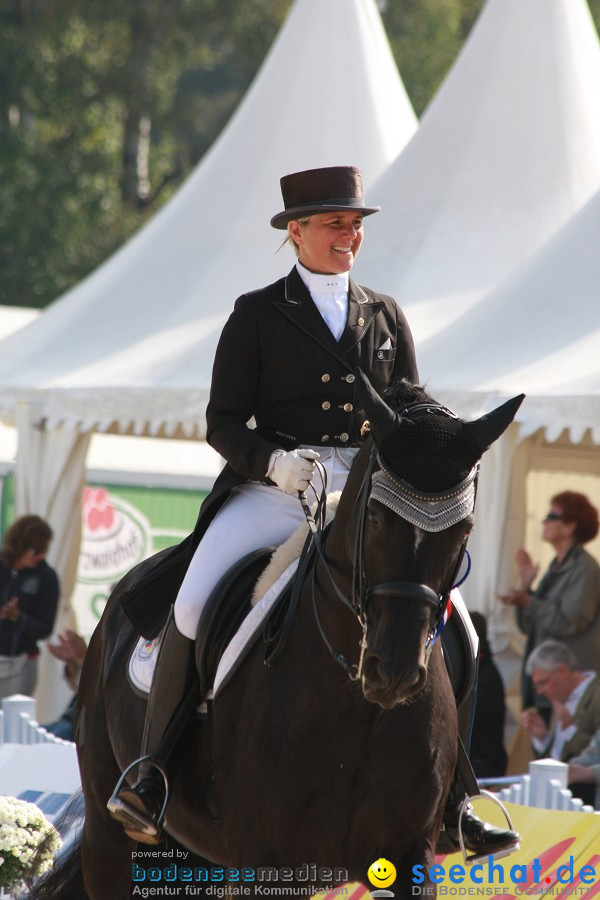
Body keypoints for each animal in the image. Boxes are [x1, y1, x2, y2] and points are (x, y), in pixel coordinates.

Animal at [30, 372, 524, 900]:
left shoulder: (410, 858)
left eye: (465, 529)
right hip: (111, 837)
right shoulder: (265, 863)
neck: (358, 706)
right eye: (375, 517)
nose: (393, 670)